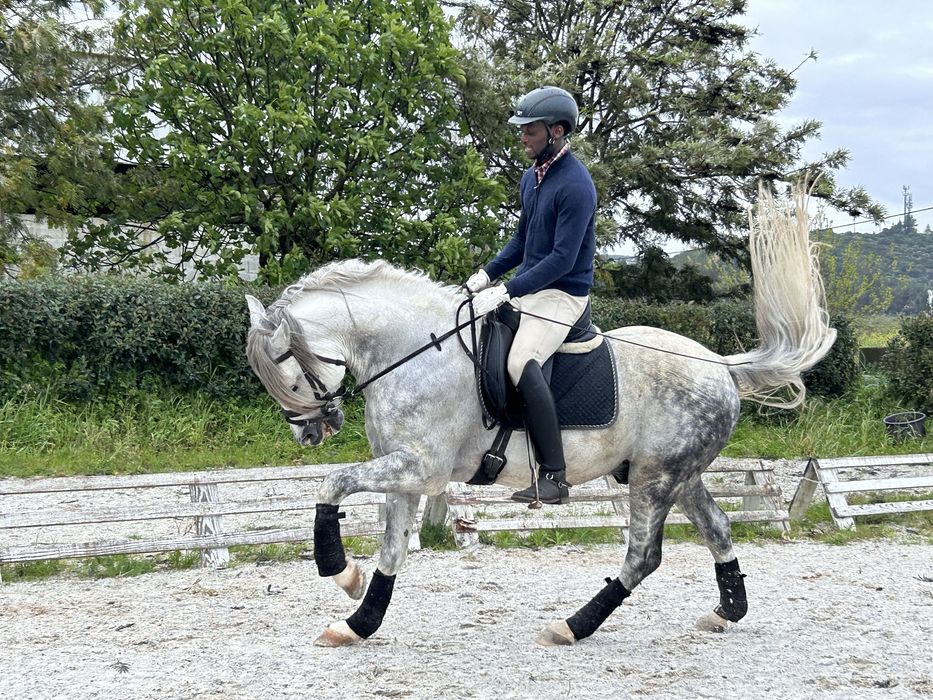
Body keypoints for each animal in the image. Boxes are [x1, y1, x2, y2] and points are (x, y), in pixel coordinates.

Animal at [244, 185, 836, 647]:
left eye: (287, 375)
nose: (310, 431)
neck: (415, 348)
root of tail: (721, 366)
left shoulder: (423, 468)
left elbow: (332, 483)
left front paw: (337, 570)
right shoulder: (406, 468)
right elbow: (391, 549)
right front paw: (358, 620)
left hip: (655, 477)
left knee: (642, 556)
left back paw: (573, 626)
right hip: (676, 473)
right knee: (716, 527)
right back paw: (725, 612)